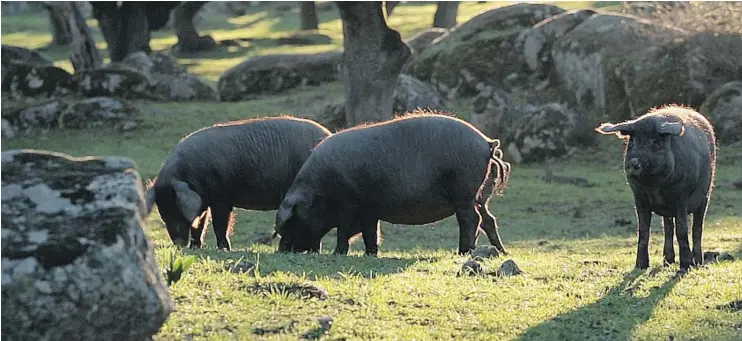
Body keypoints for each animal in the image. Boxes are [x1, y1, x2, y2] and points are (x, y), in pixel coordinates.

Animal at [145, 115, 332, 248]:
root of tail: (328, 134)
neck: (189, 173)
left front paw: (224, 249)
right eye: (162, 212)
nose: (178, 244)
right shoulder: (204, 200)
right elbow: (200, 224)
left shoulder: (221, 197)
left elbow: (220, 223)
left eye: (176, 206)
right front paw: (195, 247)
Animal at [274, 111, 512, 255]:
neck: (318, 191)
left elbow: (343, 231)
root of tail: (486, 142)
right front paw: (370, 254)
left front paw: (338, 253)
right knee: (488, 219)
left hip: (463, 192)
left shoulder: (348, 205)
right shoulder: (369, 210)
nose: (282, 250)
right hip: (476, 195)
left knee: (471, 219)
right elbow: (371, 232)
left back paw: (463, 251)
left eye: (291, 221)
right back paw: (499, 251)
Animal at [600, 106, 716, 270]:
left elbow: (682, 229)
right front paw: (641, 266)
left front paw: (685, 266)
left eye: (655, 142)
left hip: (706, 195)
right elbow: (643, 231)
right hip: (668, 210)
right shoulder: (639, 197)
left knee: (697, 227)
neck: (655, 187)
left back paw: (697, 262)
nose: (633, 162)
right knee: (667, 228)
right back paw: (667, 262)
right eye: (632, 141)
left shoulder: (681, 197)